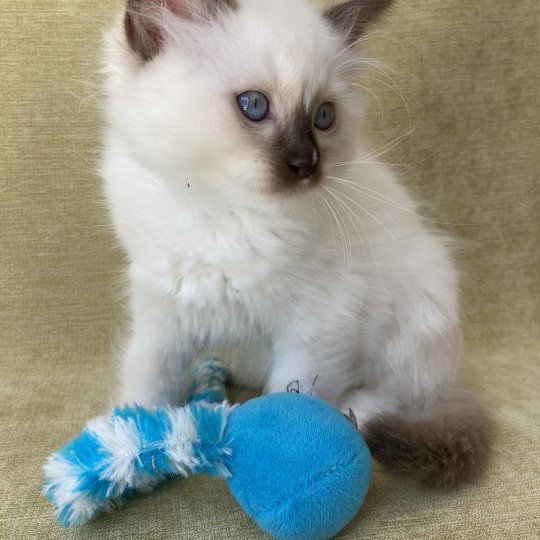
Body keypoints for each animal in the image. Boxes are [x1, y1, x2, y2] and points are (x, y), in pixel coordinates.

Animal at [99, 0, 492, 488]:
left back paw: (356, 417)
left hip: (419, 308)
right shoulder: (162, 312)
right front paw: (128, 454)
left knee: (399, 396)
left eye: (323, 117)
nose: (307, 164)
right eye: (253, 105)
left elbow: (293, 392)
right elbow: (147, 384)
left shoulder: (320, 324)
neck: (226, 215)